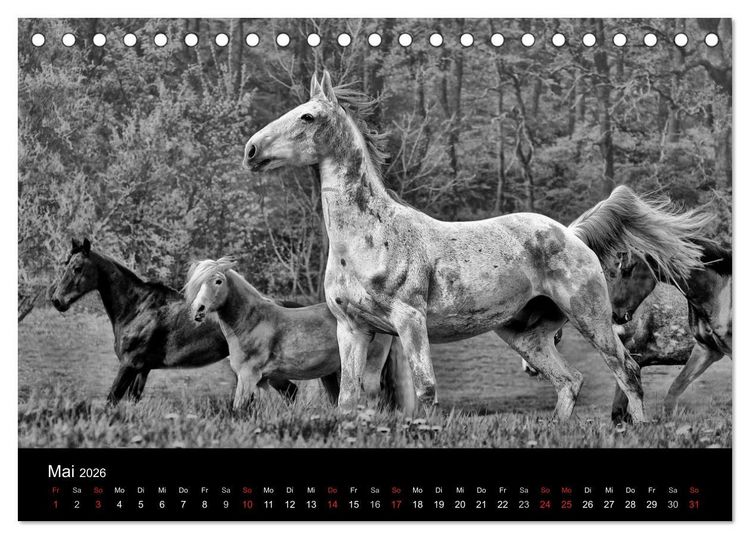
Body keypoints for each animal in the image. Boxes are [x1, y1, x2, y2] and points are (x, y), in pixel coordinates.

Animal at [49, 239, 307, 404]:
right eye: (66, 265)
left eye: (77, 267)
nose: (57, 300)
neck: (137, 308)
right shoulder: (142, 369)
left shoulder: (129, 365)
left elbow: (112, 399)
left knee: (290, 393)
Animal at [184, 257, 415, 411]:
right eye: (197, 283)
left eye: (218, 281)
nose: (198, 310)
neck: (253, 322)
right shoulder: (265, 380)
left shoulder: (248, 376)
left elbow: (239, 409)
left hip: (369, 370)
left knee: (372, 399)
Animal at [242, 70, 712, 422]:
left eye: (307, 116)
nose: (250, 150)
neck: (367, 239)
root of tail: (572, 234)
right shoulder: (353, 328)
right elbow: (349, 399)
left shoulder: (410, 321)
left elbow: (426, 390)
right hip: (525, 335)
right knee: (570, 381)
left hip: (591, 317)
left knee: (626, 371)